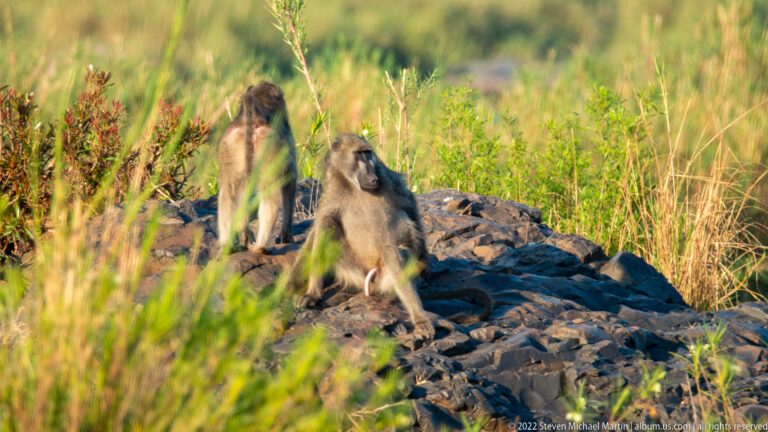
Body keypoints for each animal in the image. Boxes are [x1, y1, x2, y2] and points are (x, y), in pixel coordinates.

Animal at [217, 82, 296, 254]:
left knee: (228, 192)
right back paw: (262, 247)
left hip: (229, 143)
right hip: (268, 143)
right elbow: (289, 181)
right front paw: (287, 237)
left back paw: (228, 245)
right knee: (270, 192)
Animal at [289, 134, 494, 340]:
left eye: (368, 153)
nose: (372, 177)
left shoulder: (389, 179)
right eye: (359, 154)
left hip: (389, 275)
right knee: (327, 225)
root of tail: (372, 284)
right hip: (352, 270)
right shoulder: (330, 193)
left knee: (391, 253)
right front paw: (306, 292)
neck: (354, 186)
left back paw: (420, 320)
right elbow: (321, 224)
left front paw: (425, 265)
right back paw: (317, 294)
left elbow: (409, 204)